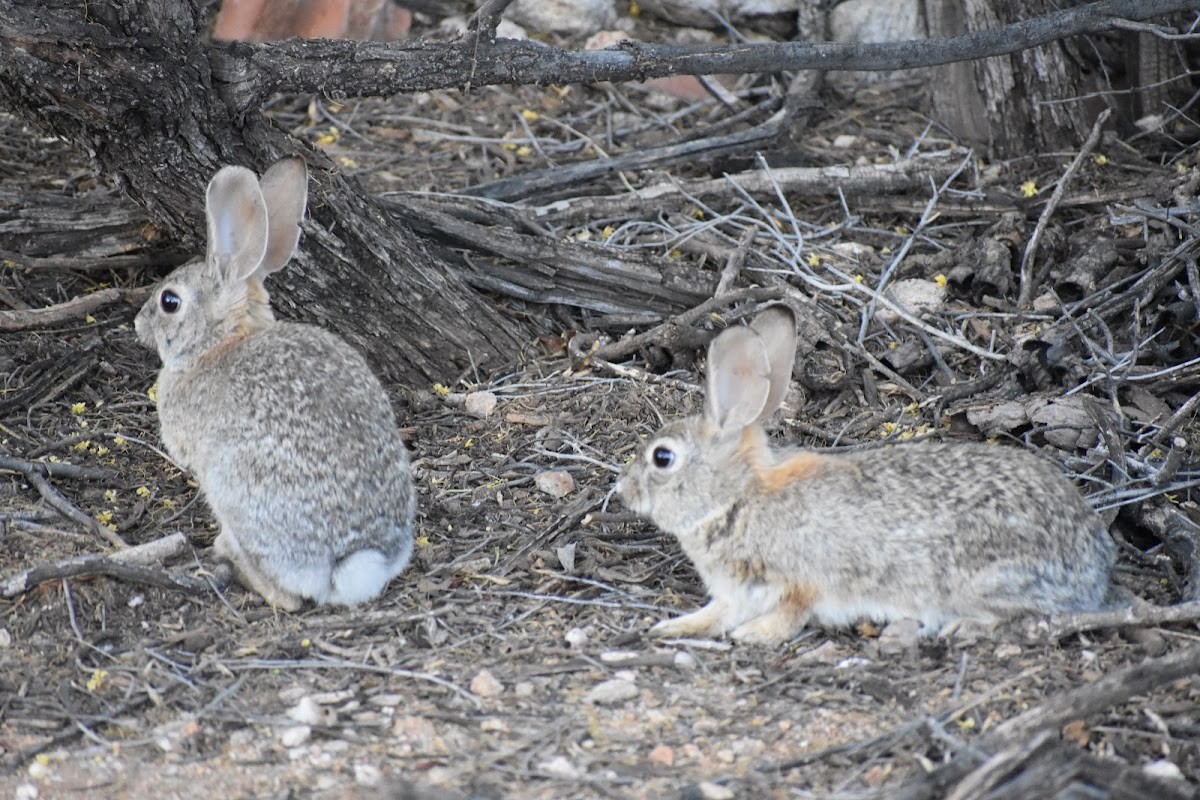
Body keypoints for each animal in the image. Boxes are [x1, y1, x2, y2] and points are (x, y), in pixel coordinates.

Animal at [135, 155, 415, 614]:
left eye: (169, 302)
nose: (138, 323)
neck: (221, 342)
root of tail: (351, 559)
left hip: (234, 490)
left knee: (289, 597)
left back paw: (230, 556)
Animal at [619, 302, 1113, 642]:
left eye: (662, 458)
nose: (623, 490)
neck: (737, 498)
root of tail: (1097, 565)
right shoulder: (738, 592)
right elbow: (715, 614)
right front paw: (672, 627)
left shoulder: (799, 582)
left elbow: (790, 615)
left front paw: (755, 635)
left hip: (983, 579)